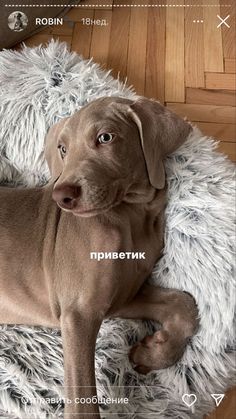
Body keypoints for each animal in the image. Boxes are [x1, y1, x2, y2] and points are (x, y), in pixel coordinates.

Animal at [0, 97, 198, 418]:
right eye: (63, 149)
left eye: (106, 137)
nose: (62, 196)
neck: (129, 216)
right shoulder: (78, 314)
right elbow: (82, 401)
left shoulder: (121, 297)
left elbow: (183, 304)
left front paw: (152, 352)